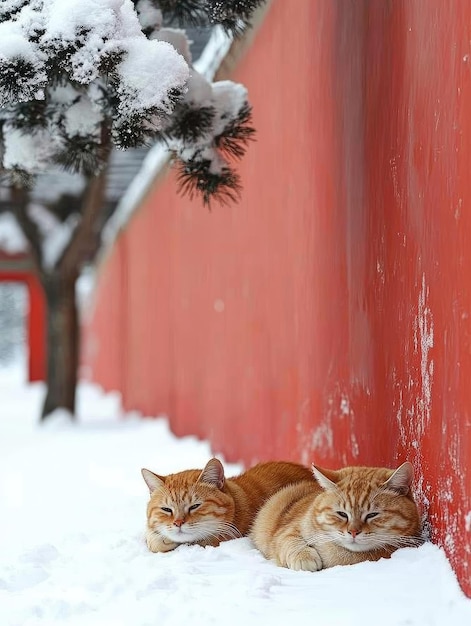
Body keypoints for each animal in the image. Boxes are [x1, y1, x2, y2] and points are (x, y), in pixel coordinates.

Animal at [251, 460, 424, 568]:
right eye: (342, 514)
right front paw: (305, 558)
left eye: (372, 515)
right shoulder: (287, 530)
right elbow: (290, 541)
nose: (353, 532)